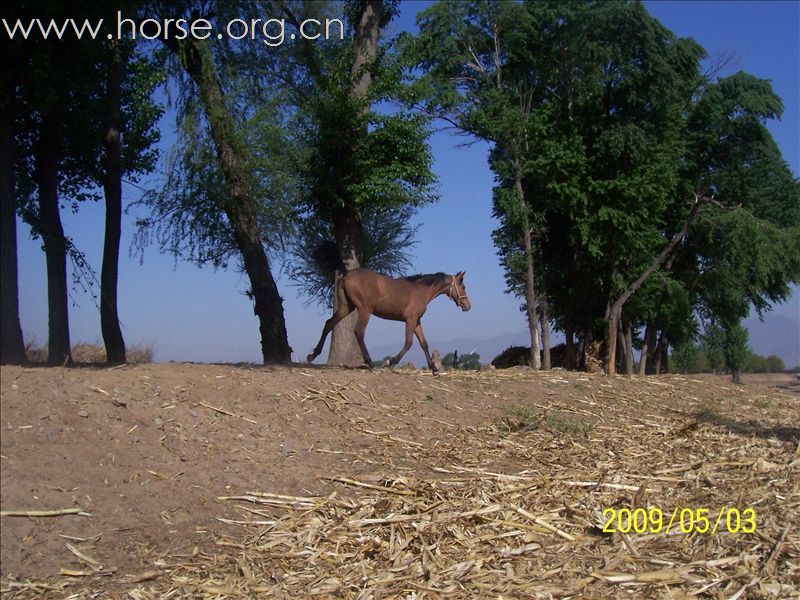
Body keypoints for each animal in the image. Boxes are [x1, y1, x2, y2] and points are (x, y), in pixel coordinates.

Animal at [304, 268, 468, 372]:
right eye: (464, 286)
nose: (468, 306)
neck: (420, 291)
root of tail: (346, 275)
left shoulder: (417, 321)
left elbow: (424, 343)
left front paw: (434, 369)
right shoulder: (410, 320)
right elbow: (409, 343)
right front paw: (390, 362)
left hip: (346, 307)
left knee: (329, 324)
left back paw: (313, 355)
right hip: (364, 310)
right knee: (359, 332)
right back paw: (370, 363)